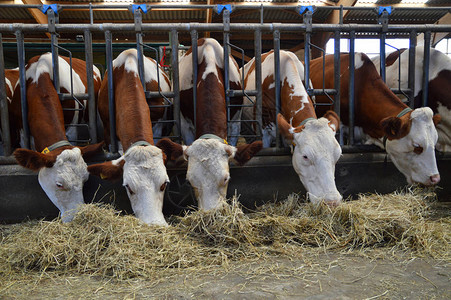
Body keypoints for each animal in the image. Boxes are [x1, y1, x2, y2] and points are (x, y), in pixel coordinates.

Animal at [11, 53, 104, 223]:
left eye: (85, 180)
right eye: (59, 184)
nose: (76, 217)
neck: (39, 77)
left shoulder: (72, 127)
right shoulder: (21, 132)